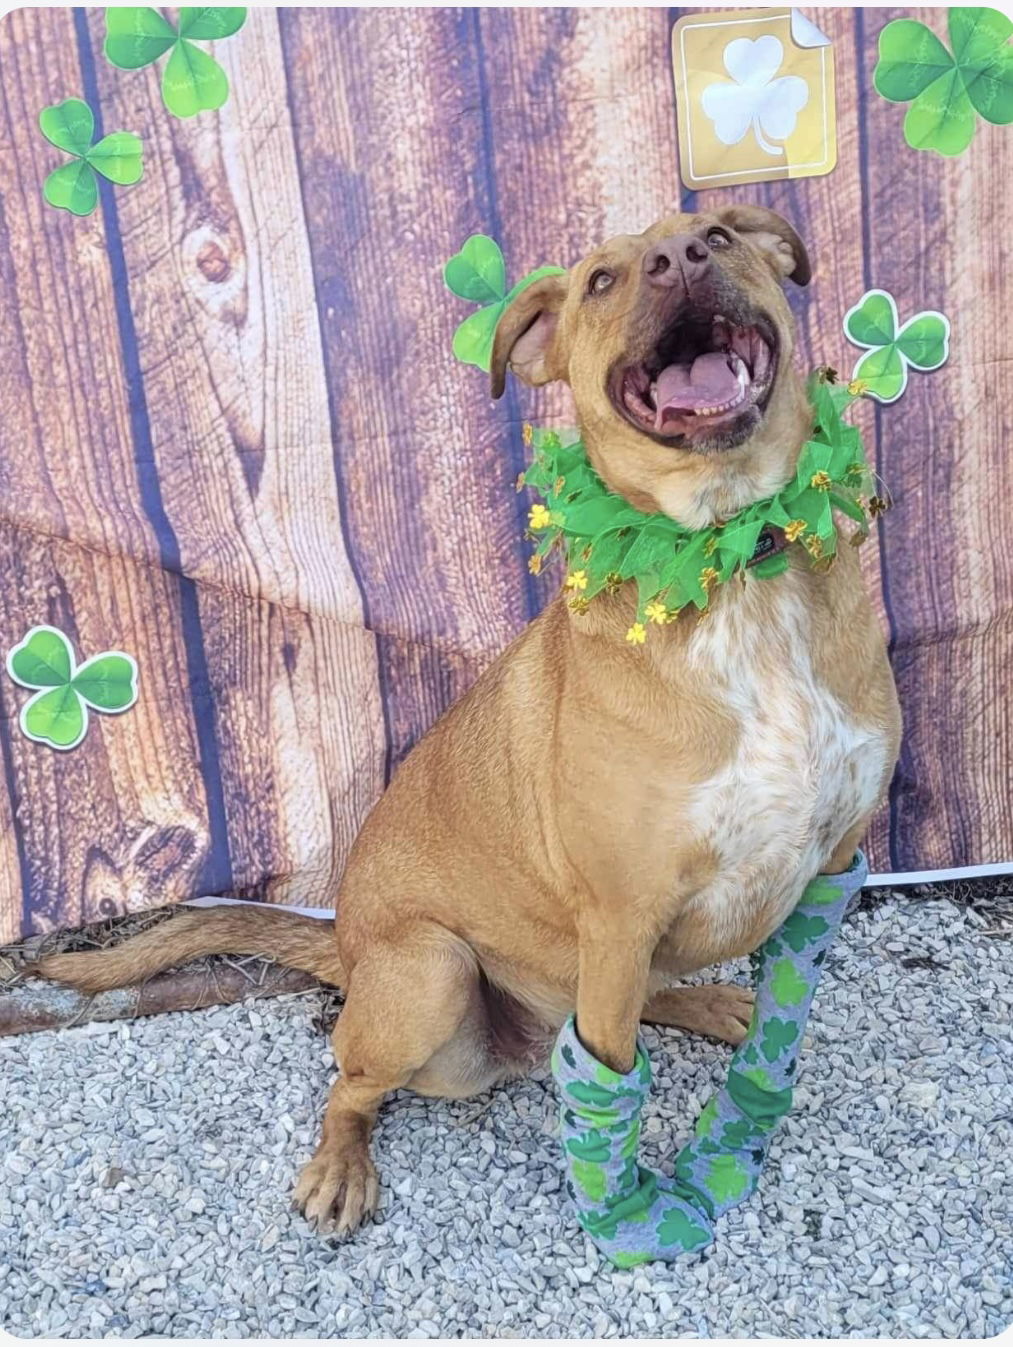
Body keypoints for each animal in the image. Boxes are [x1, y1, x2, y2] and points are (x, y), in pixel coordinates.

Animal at [35, 207, 899, 1239]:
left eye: (719, 235)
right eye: (601, 281)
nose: (678, 258)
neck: (731, 562)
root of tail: (346, 943)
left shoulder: (832, 863)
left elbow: (774, 1014)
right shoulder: (619, 913)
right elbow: (613, 1077)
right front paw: (623, 1221)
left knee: (613, 1009)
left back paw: (704, 1005)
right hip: (432, 975)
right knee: (357, 1082)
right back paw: (340, 1164)